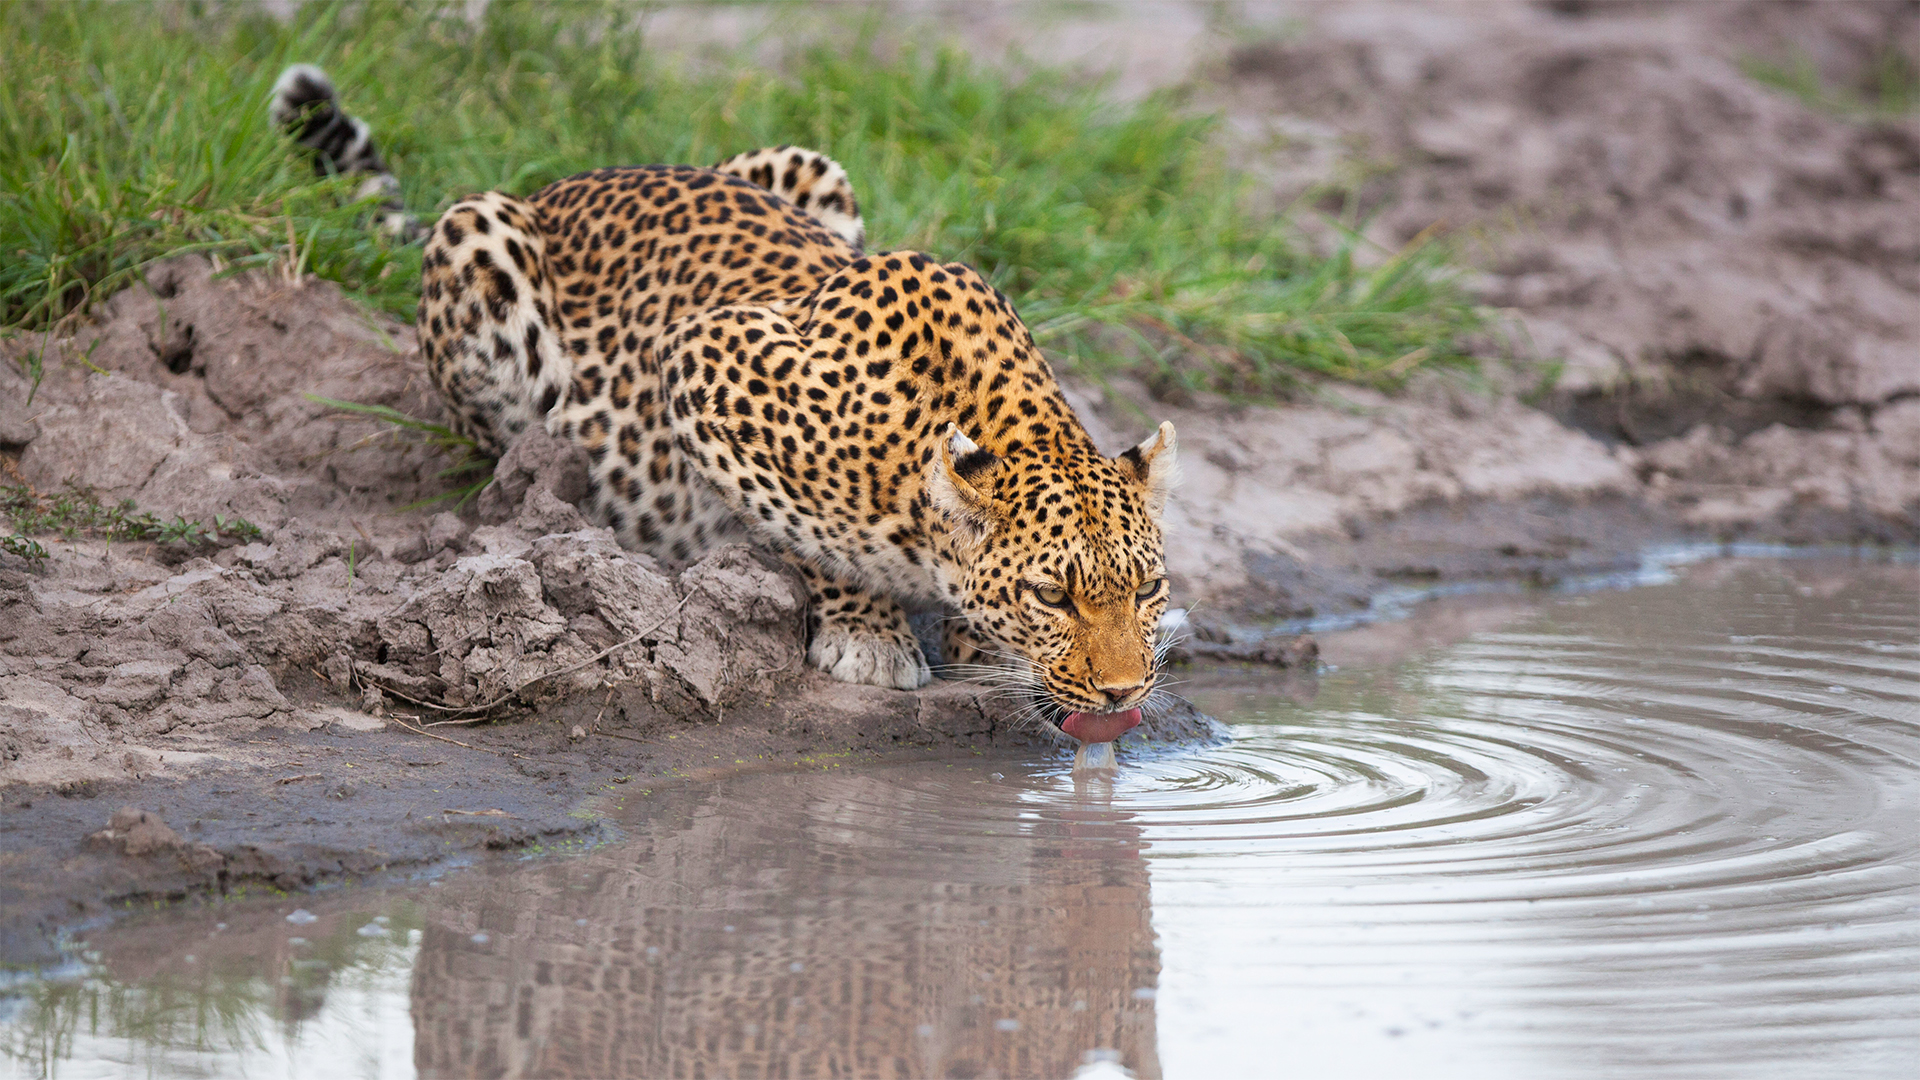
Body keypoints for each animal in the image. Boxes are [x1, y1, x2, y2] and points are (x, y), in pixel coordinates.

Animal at [275, 66, 1181, 743]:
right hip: (478, 234)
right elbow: (810, 530)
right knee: (501, 436)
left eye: (1147, 591)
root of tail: (562, 184)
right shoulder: (706, 351)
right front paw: (868, 632)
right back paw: (558, 492)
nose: (1123, 691)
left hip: (812, 165)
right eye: (1053, 597)